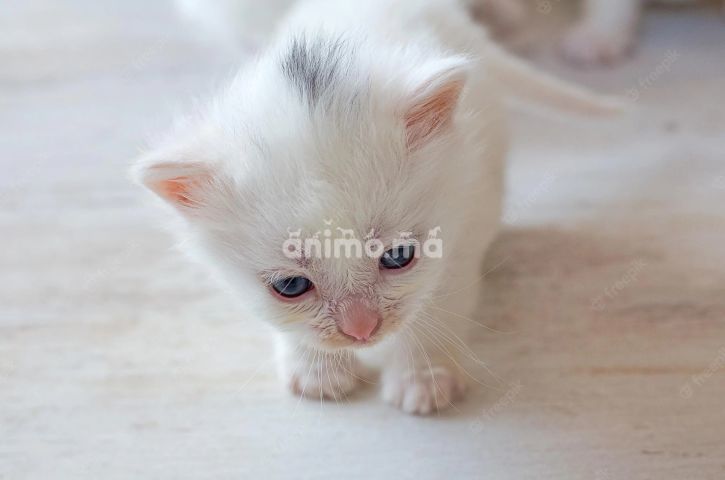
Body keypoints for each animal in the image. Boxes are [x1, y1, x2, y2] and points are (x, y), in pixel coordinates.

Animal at [134, 0, 616, 414]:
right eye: (290, 286)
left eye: (398, 257)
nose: (361, 330)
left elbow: (437, 304)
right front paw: (317, 372)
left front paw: (425, 378)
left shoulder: (463, 218)